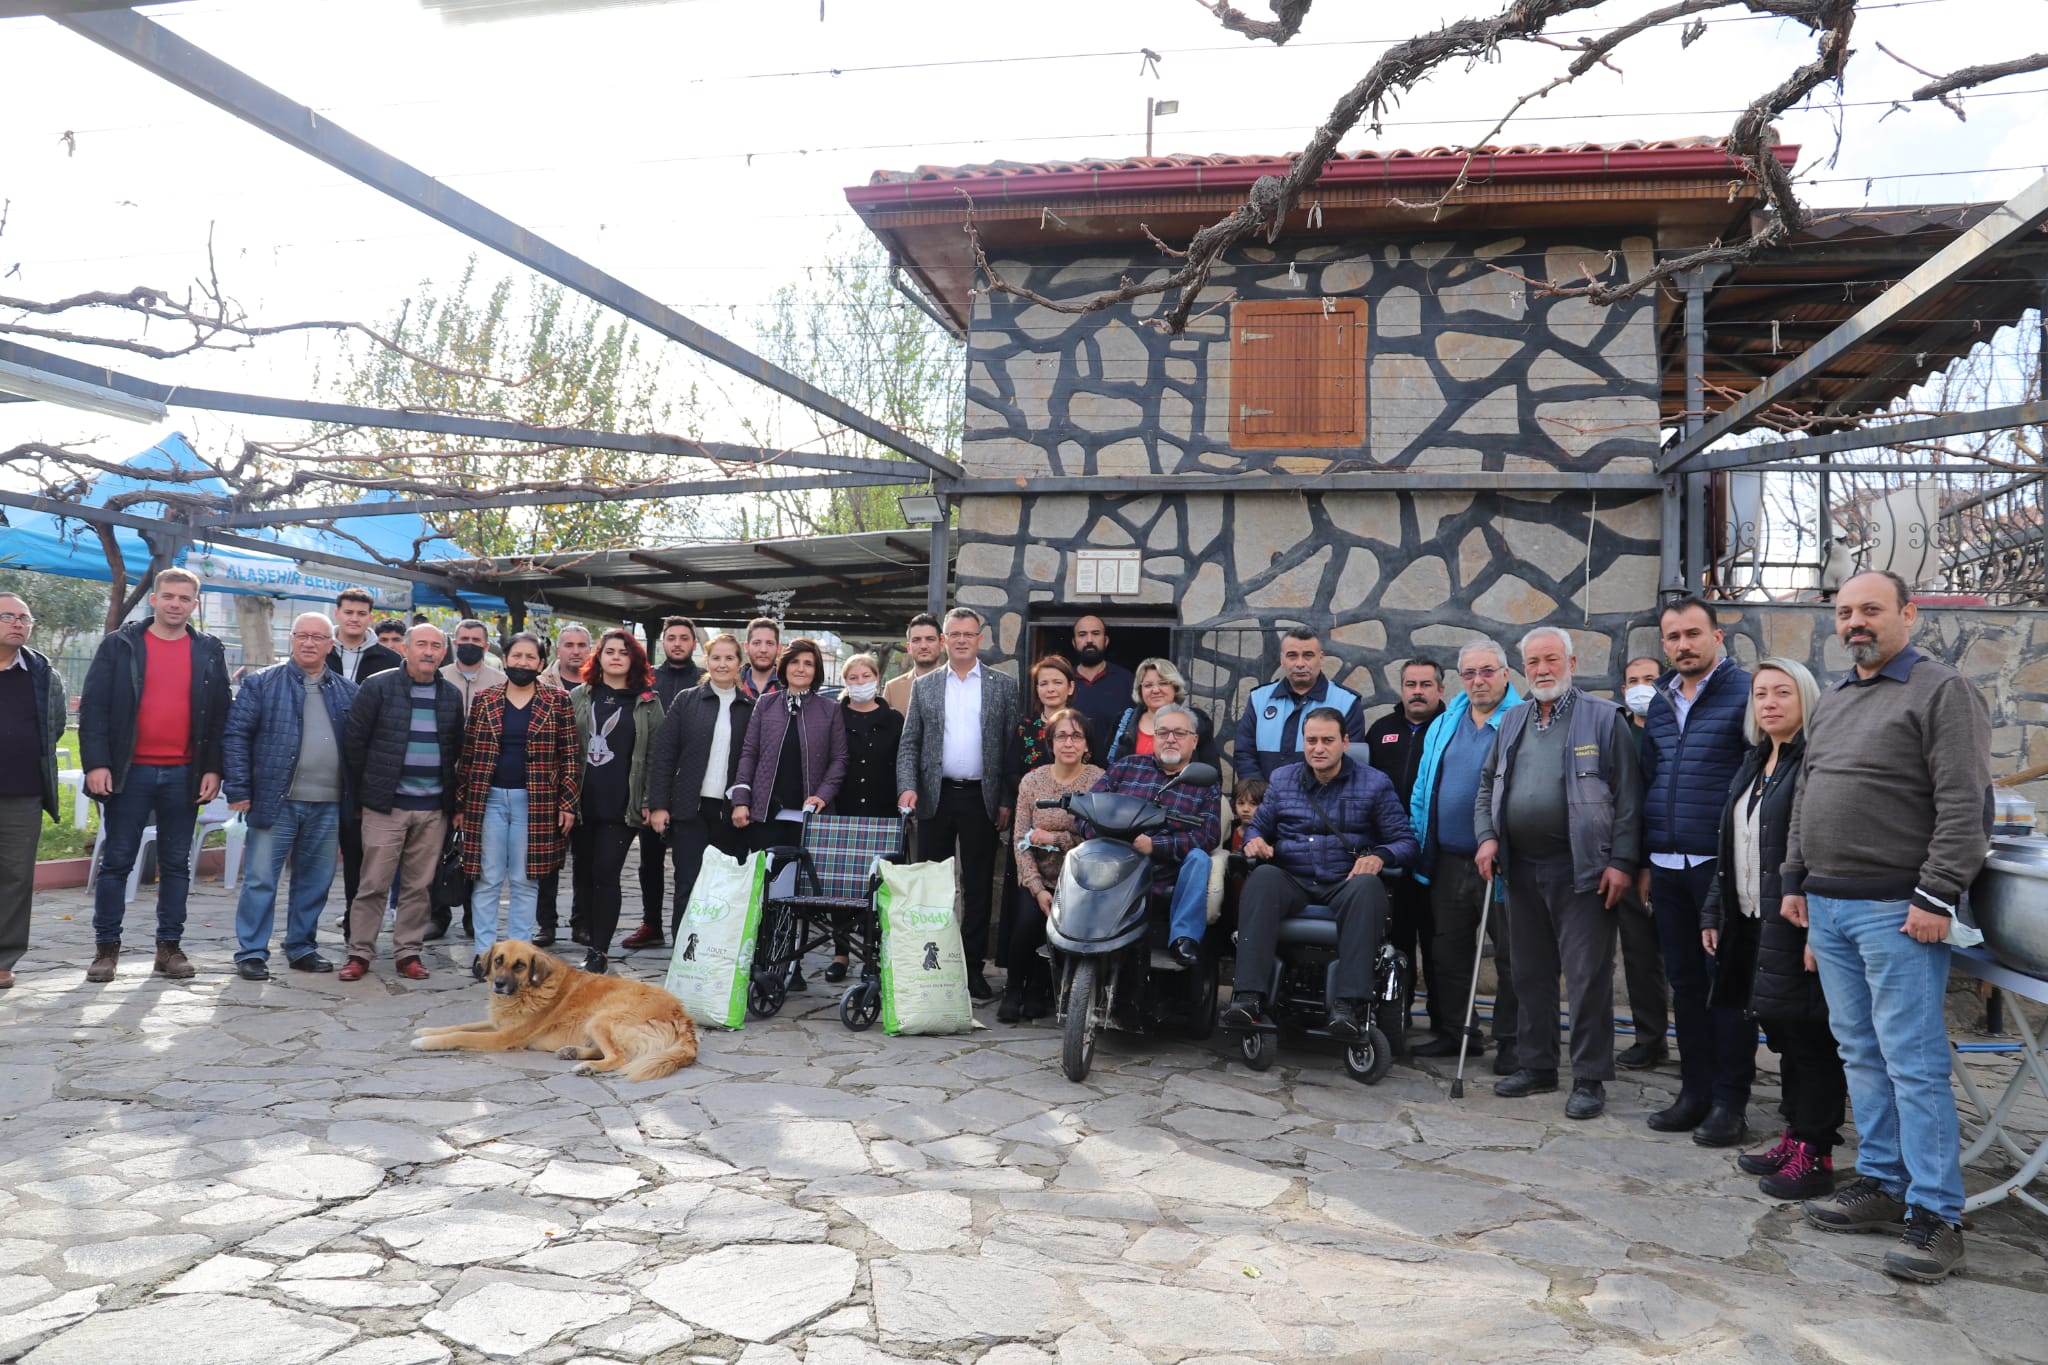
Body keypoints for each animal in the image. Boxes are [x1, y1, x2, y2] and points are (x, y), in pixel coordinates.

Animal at [411, 941, 700, 1080]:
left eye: (519, 965)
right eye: (498, 960)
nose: (499, 984)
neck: (531, 989)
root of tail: (683, 1016)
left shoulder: (503, 1037)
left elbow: (461, 1035)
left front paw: (425, 1042)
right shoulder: (497, 1024)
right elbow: (462, 1025)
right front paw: (427, 1030)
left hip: (600, 1019)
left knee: (620, 1057)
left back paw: (587, 1067)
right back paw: (573, 1052)